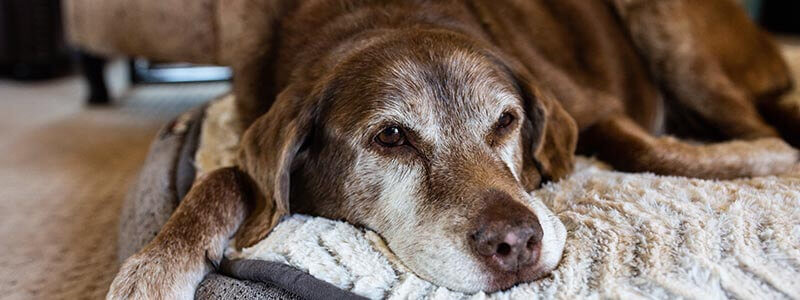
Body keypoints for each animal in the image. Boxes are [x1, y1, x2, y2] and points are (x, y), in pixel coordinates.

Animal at [108, 0, 800, 296]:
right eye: (391, 136)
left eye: (507, 121)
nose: (516, 245)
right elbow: (224, 178)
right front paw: (155, 266)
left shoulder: (593, 108)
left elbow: (652, 153)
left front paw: (774, 162)